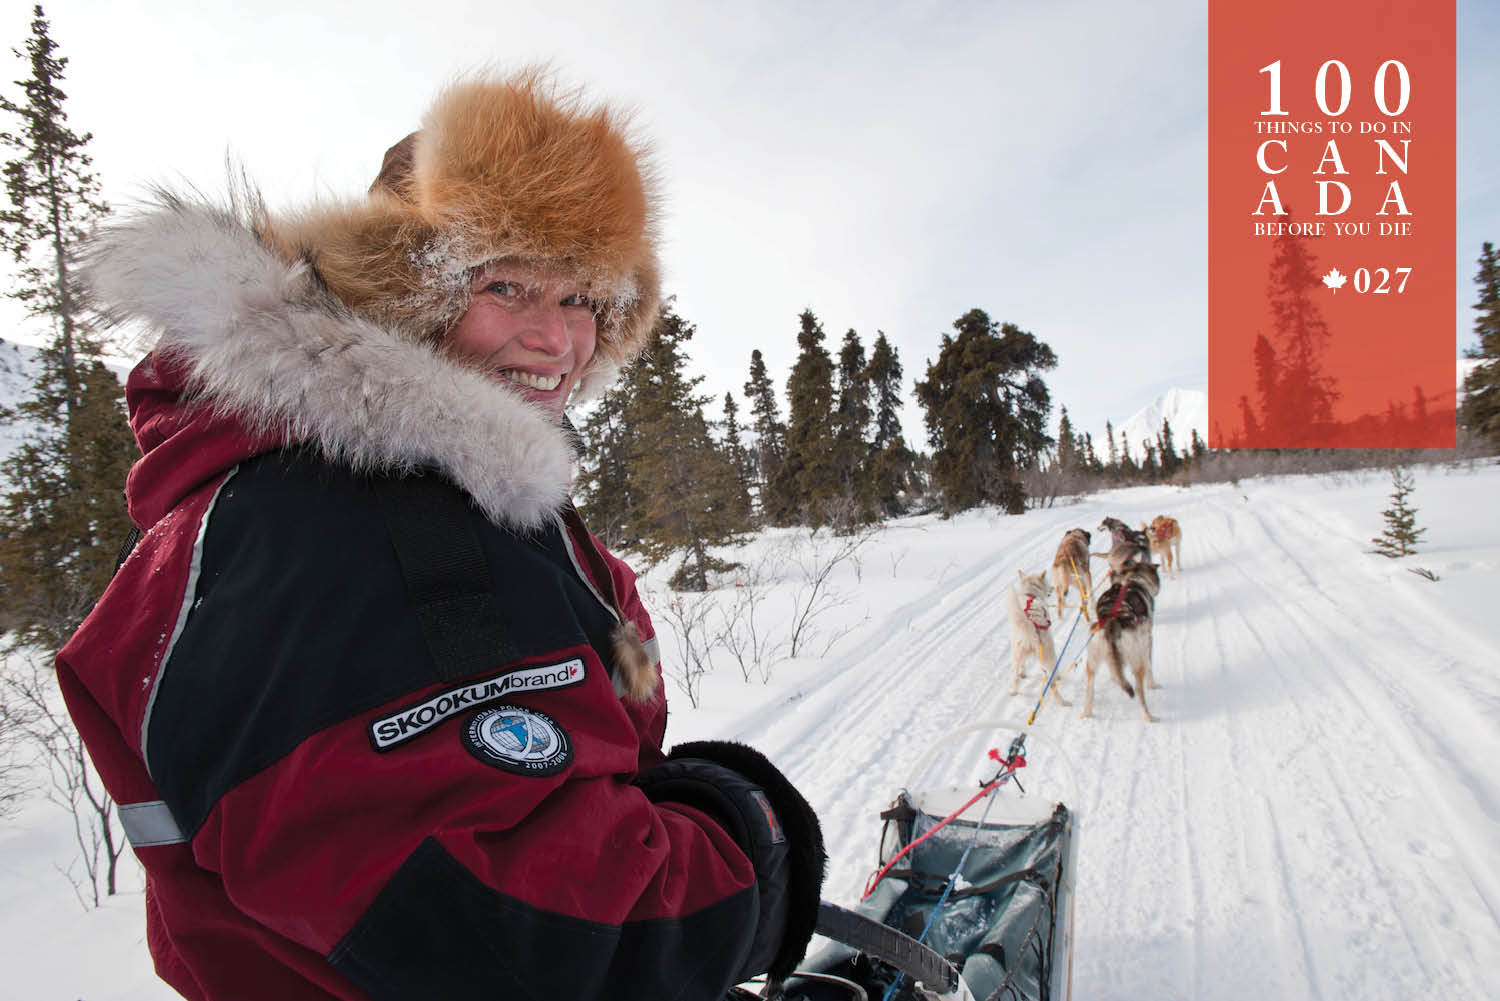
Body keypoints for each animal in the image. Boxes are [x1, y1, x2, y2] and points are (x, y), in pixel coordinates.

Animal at [1002, 570, 1074, 705]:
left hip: (1017, 655)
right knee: (1052, 680)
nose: (1052, 588)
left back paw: (1014, 690)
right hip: (1049, 655)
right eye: (1047, 582)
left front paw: (1023, 673)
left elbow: (1022, 667)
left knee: (1015, 677)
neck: (1030, 594)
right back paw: (1062, 698)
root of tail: (1029, 631)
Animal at [1080, 561, 1158, 723]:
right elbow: (1150, 667)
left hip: (1093, 660)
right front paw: (1153, 685)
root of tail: (1111, 622)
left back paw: (1086, 713)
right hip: (1136, 661)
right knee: (1139, 692)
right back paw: (1148, 716)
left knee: (1092, 687)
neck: (1135, 580)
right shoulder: (1147, 641)